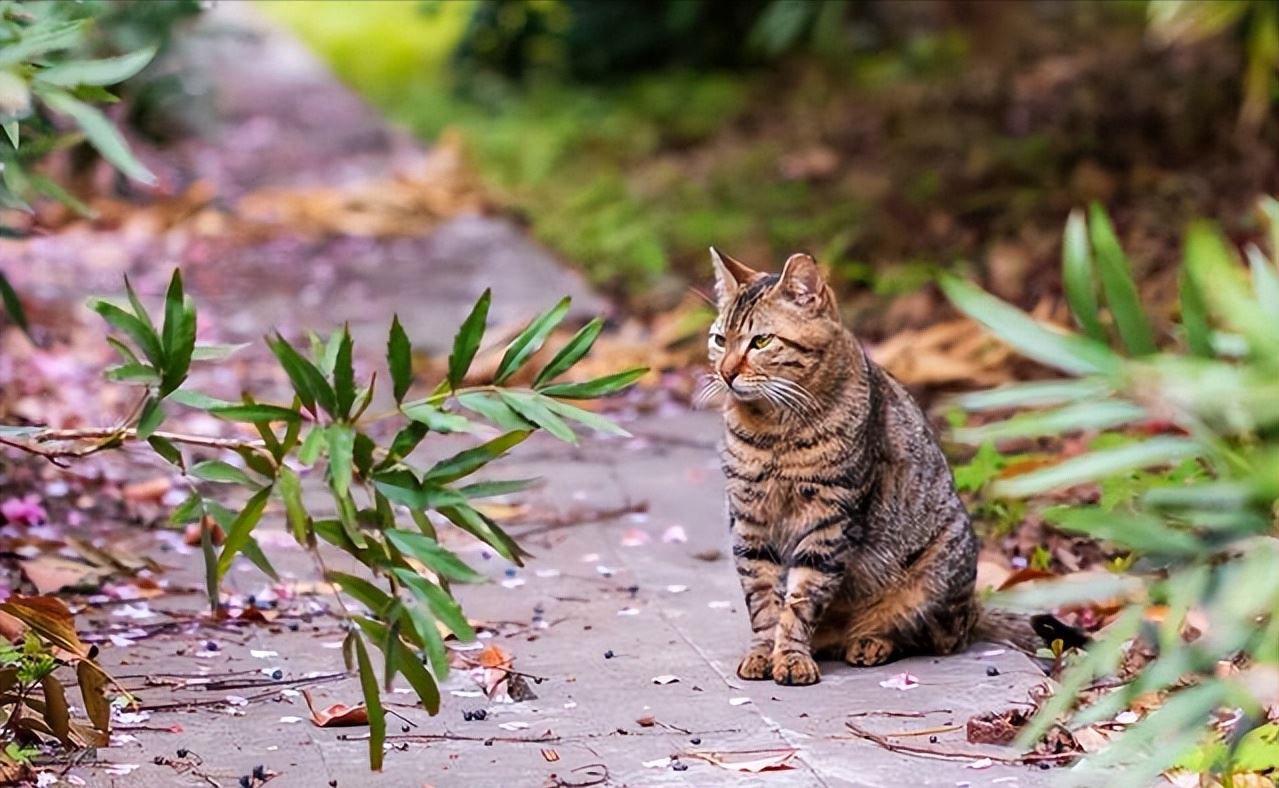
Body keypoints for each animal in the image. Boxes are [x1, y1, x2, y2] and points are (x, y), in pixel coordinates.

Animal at [700, 248, 1079, 685]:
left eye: (761, 341)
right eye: (719, 340)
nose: (725, 372)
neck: (774, 431)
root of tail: (973, 609)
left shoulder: (829, 518)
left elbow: (801, 599)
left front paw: (791, 656)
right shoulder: (750, 518)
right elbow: (764, 601)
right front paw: (764, 652)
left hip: (937, 575)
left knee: (937, 637)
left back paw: (872, 642)